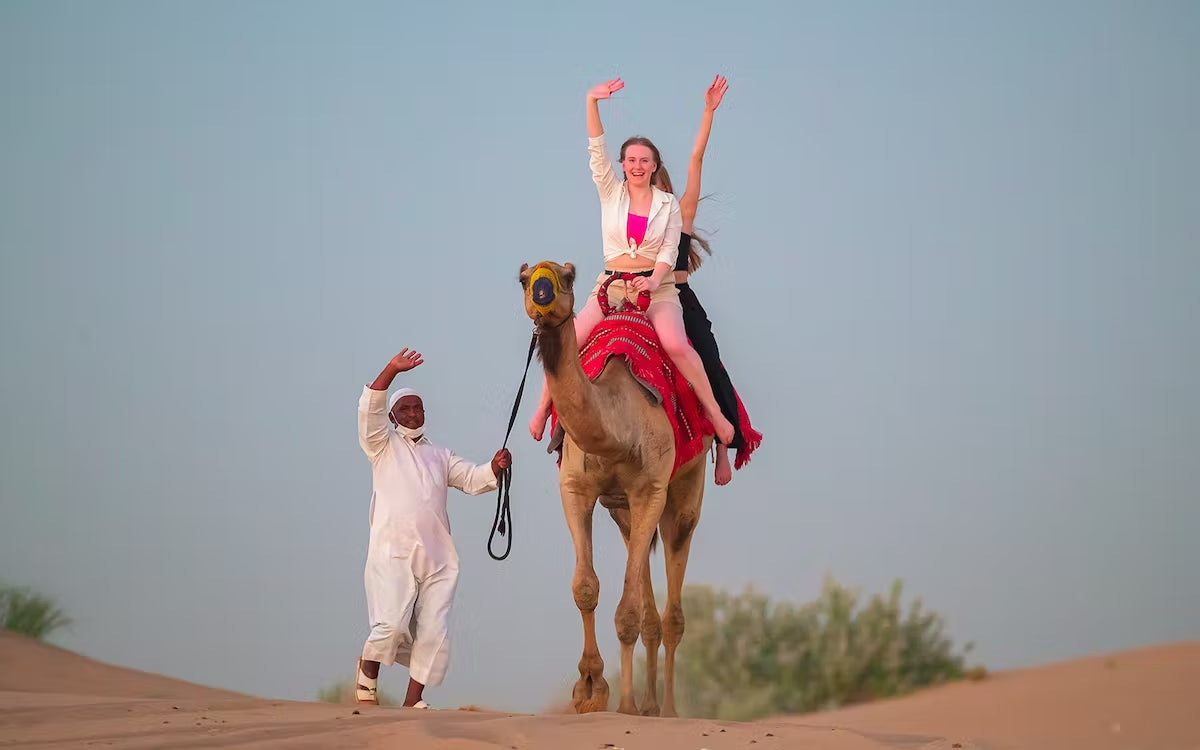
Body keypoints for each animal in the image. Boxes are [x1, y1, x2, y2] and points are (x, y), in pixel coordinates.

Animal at [518, 260, 705, 715]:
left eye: (566, 278)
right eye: (524, 279)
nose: (542, 294)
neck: (618, 428)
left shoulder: (651, 489)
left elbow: (626, 613)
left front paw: (613, 700)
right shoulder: (575, 488)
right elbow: (586, 588)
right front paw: (589, 689)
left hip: (685, 491)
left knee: (672, 605)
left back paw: (667, 710)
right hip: (622, 511)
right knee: (650, 610)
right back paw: (648, 707)